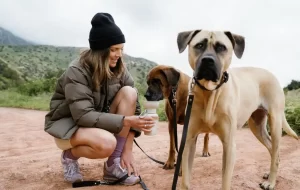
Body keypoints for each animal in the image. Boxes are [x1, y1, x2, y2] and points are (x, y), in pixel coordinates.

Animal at [177, 29, 298, 189]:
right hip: (256, 126)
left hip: (276, 122)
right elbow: (185, 181)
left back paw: (271, 181)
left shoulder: (229, 145)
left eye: (221, 47)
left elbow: (225, 181)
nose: (208, 60)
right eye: (200, 45)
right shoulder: (189, 140)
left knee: (275, 148)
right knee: (272, 149)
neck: (210, 92)